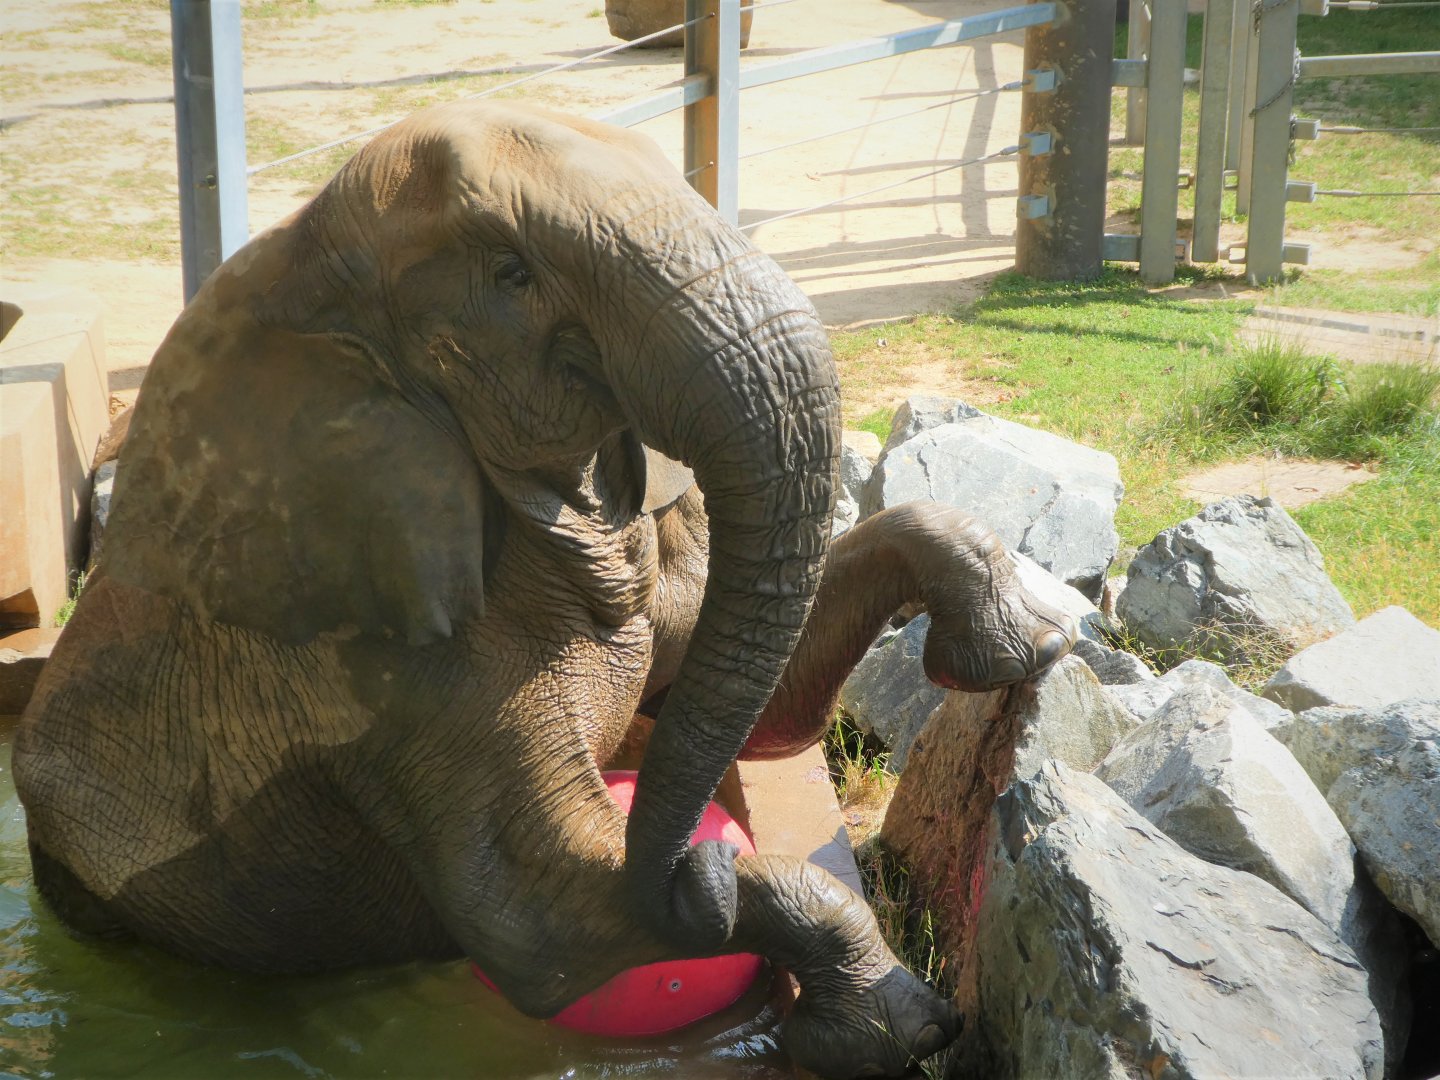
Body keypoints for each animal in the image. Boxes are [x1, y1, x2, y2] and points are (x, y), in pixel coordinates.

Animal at [14, 99, 1075, 1079]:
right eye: (511, 275)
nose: (701, 853)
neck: (299, 261)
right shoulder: (376, 681)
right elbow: (543, 925)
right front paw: (898, 1029)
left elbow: (748, 708)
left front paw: (1031, 646)